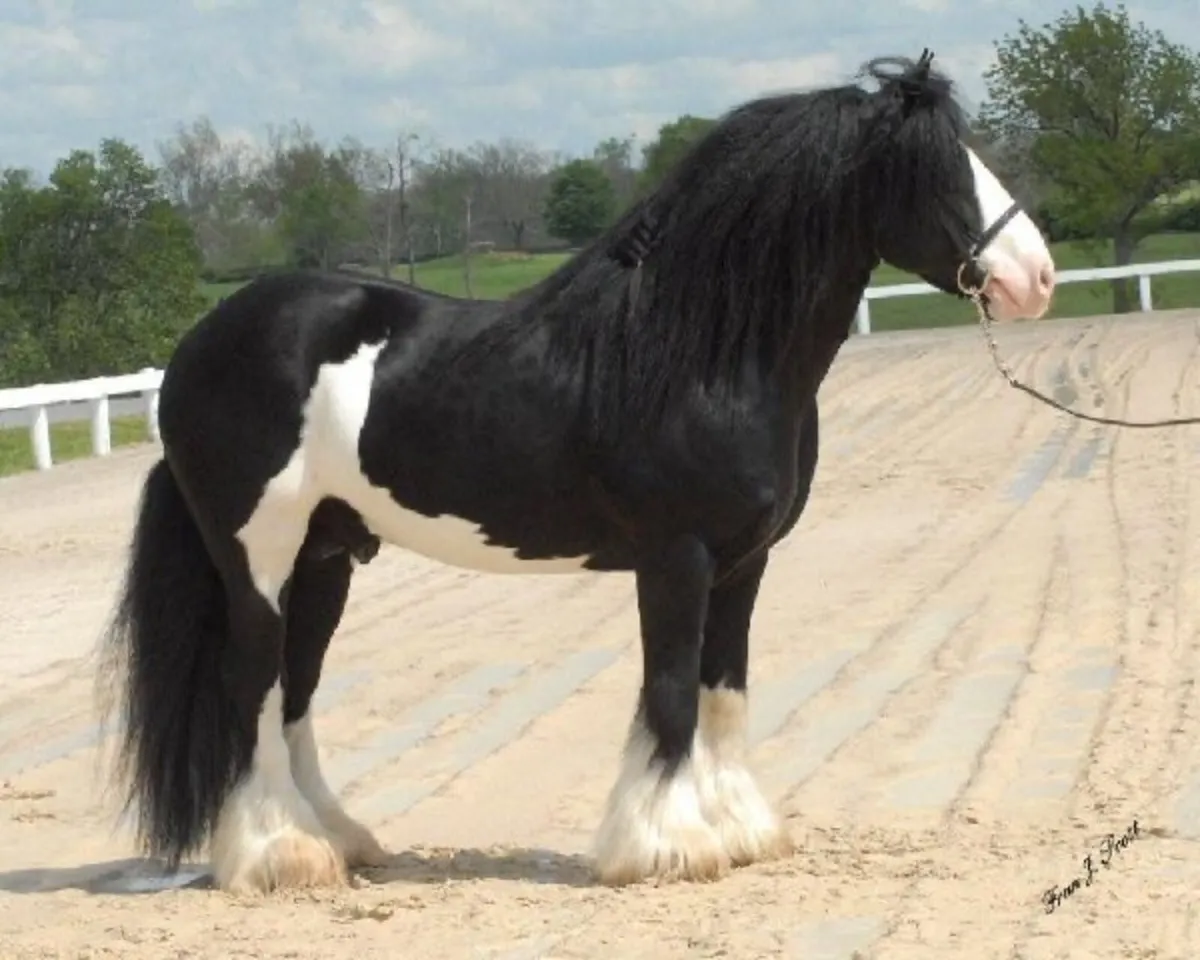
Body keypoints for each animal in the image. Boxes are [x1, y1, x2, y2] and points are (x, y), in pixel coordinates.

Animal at [97, 50, 1056, 896]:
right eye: (932, 169)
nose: (1036, 278)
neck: (700, 351)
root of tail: (199, 347)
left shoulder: (744, 564)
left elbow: (723, 691)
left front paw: (739, 830)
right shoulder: (677, 557)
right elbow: (669, 693)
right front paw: (664, 846)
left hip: (326, 556)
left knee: (293, 693)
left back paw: (337, 842)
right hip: (257, 555)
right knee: (252, 686)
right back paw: (277, 857)